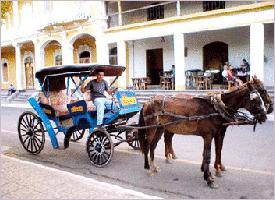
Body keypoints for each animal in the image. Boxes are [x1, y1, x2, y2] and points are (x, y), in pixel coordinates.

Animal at [139, 81, 268, 188]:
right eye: (256, 99)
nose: (264, 116)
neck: (216, 108)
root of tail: (147, 102)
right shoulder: (208, 136)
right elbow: (208, 156)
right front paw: (209, 179)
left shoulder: (218, 134)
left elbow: (217, 151)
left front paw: (212, 172)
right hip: (152, 128)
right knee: (147, 144)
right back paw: (147, 166)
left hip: (160, 128)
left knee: (153, 145)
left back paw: (154, 166)